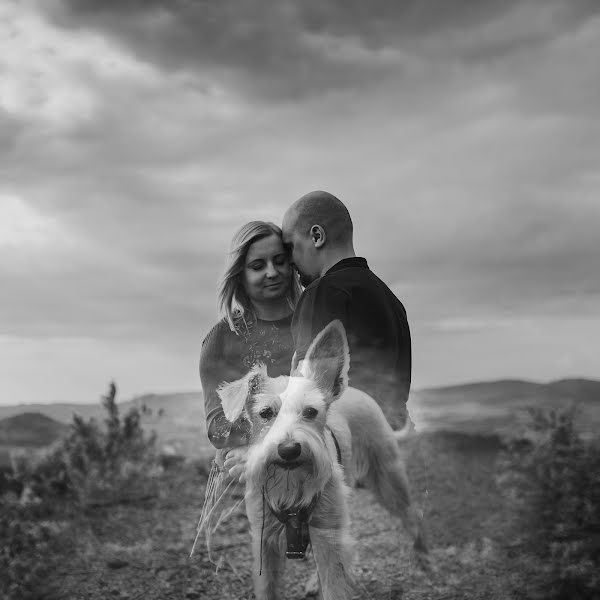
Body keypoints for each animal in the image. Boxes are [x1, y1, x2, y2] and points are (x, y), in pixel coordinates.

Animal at [218, 322, 428, 596]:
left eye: (310, 412)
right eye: (265, 413)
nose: (288, 449)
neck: (291, 482)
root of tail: (355, 391)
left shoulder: (328, 536)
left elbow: (334, 585)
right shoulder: (265, 542)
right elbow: (268, 588)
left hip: (389, 480)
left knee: (412, 513)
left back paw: (424, 556)